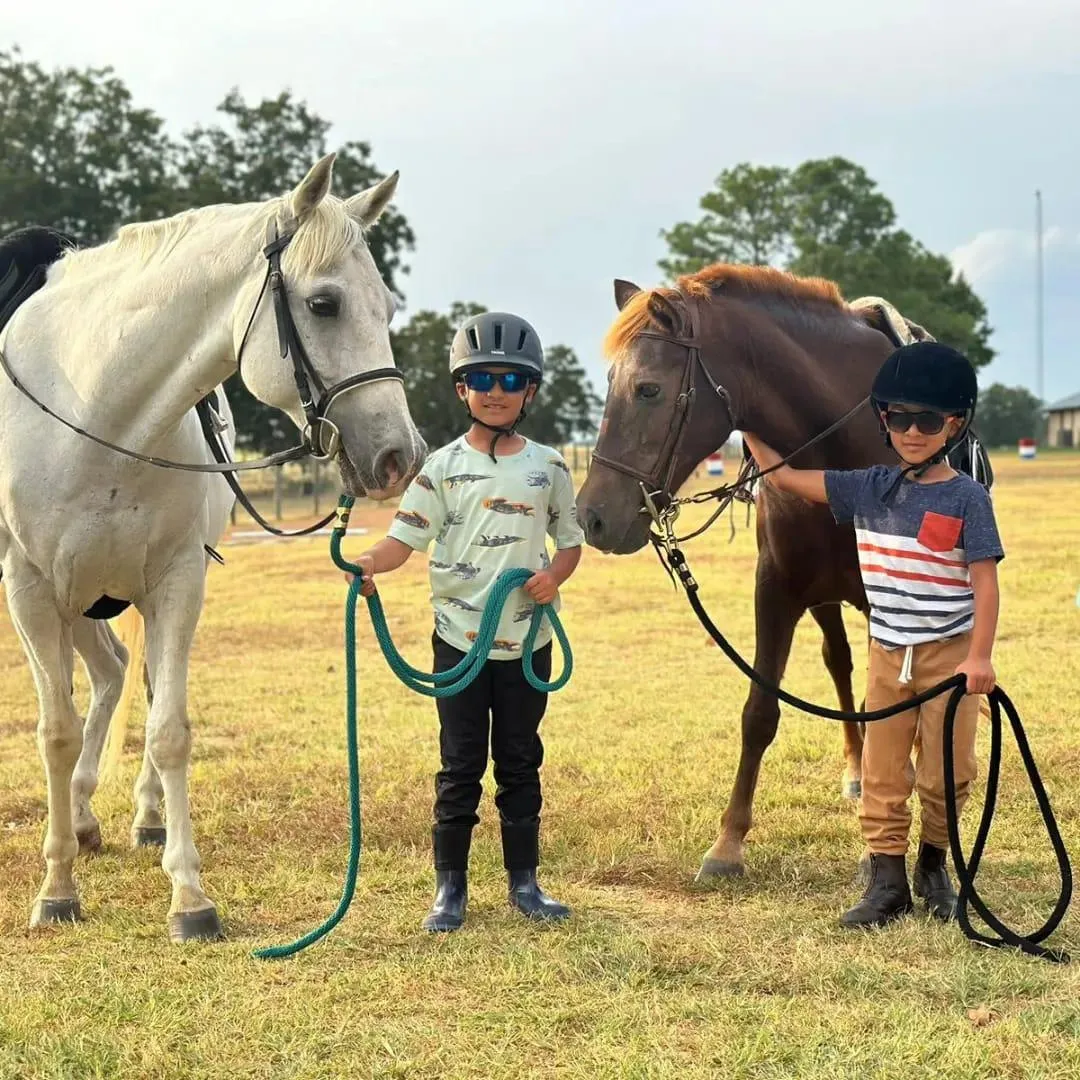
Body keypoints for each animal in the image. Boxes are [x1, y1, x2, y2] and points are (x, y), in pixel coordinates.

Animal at [0, 156, 425, 941]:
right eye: (324, 304)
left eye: (384, 307)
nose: (397, 457)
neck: (93, 411)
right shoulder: (32, 590)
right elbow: (55, 732)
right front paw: (57, 890)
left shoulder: (175, 581)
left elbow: (169, 729)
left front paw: (189, 897)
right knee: (100, 683)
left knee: (121, 677)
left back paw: (126, 818)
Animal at [578, 265, 950, 881]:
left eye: (648, 388)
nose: (592, 517)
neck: (840, 455)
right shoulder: (775, 591)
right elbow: (759, 712)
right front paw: (727, 844)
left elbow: (893, 709)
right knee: (839, 663)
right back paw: (857, 770)